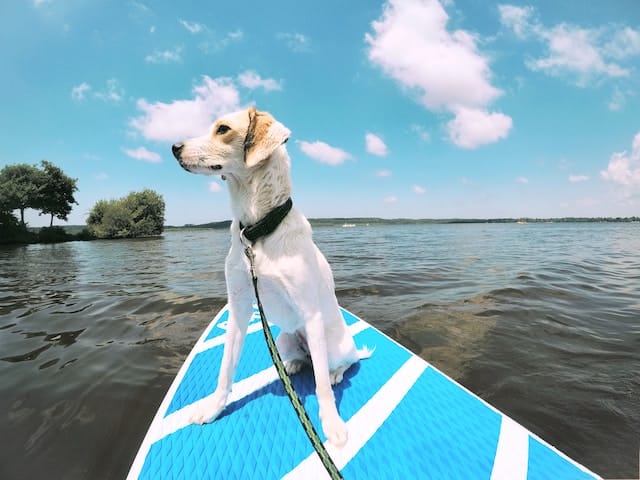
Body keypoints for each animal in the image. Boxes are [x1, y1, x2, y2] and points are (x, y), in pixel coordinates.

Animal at [171, 107, 370, 448]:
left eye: (222, 129)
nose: (174, 147)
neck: (258, 232)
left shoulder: (310, 313)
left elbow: (321, 386)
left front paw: (332, 425)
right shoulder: (239, 306)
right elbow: (225, 370)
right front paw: (213, 409)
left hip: (332, 344)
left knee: (340, 364)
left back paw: (335, 372)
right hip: (284, 337)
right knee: (305, 360)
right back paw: (291, 364)